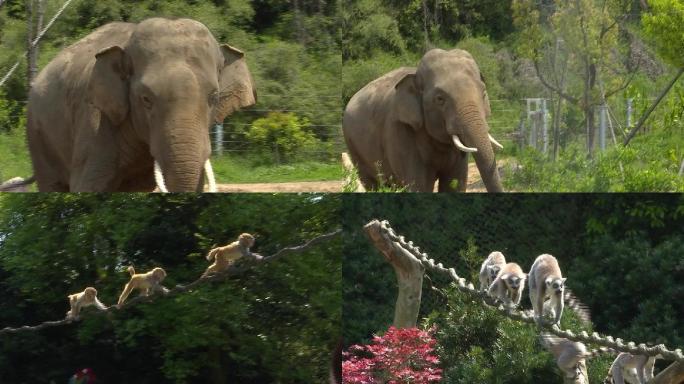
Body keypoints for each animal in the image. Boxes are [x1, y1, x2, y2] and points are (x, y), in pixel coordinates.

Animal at [344, 48, 504, 192]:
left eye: (483, 92)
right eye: (440, 99)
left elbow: (455, 183)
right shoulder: (400, 131)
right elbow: (420, 185)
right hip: (353, 146)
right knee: (372, 184)